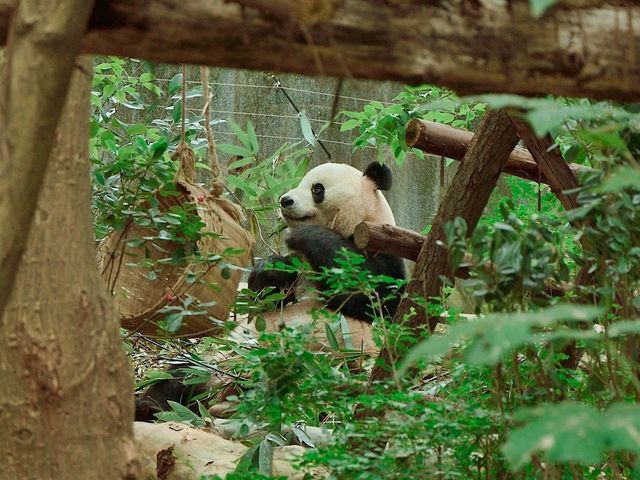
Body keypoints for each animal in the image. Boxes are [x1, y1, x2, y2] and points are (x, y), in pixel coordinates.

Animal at [249, 161, 404, 330]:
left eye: (317, 188)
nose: (285, 201)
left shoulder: (385, 251)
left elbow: (374, 297)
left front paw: (304, 234)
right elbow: (268, 300)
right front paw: (271, 268)